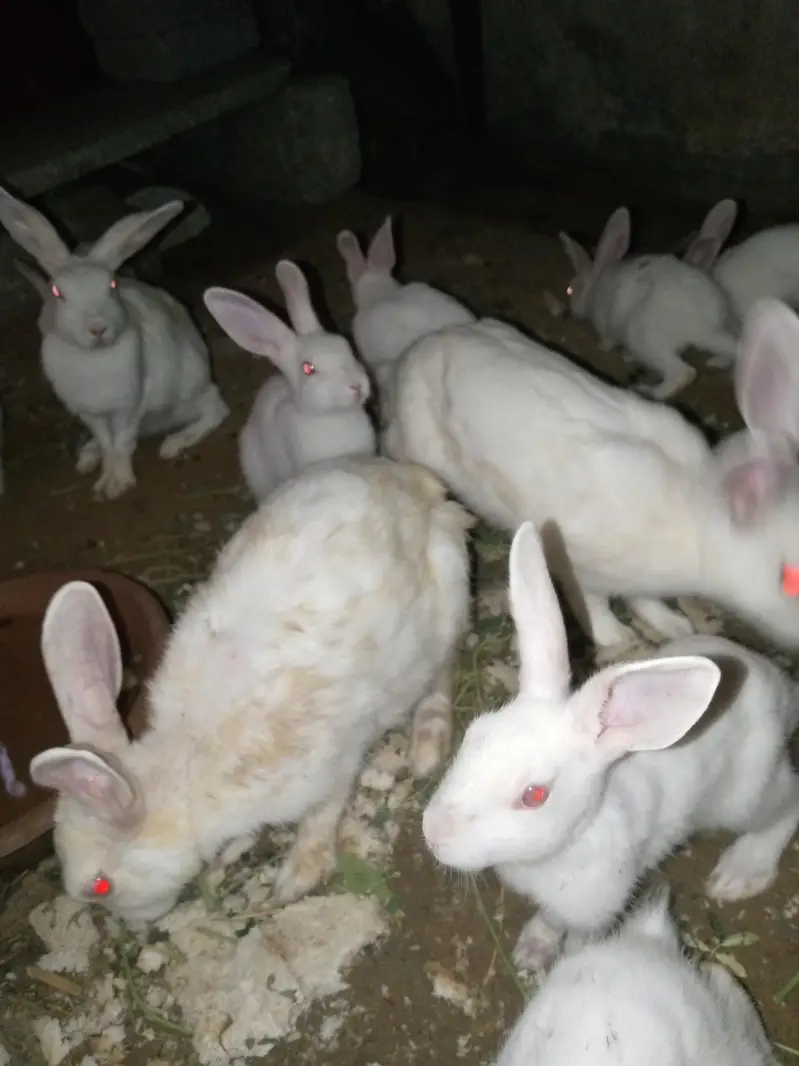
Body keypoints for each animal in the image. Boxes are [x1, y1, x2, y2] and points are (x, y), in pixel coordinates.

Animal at [0, 187, 229, 500]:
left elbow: (121, 442)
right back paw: (87, 456)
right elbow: (108, 442)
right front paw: (105, 481)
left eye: (111, 286)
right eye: (58, 293)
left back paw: (173, 443)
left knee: (214, 411)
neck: (94, 356)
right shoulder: (91, 414)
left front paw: (119, 483)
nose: (98, 328)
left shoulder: (127, 407)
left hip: (188, 393)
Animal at [28, 456, 473, 927]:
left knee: (441, 676)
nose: (135, 927)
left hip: (446, 605)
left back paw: (426, 748)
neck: (186, 772)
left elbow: (322, 814)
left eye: (100, 886)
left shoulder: (332, 764)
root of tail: (421, 484)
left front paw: (296, 878)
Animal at [384, 295, 799, 658]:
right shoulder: (582, 566)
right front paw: (617, 638)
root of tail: (419, 349)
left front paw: (674, 624)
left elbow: (645, 599)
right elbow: (595, 603)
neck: (699, 525)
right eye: (788, 579)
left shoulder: (640, 579)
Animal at [423, 520, 799, 972]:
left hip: (745, 795)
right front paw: (533, 947)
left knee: (787, 805)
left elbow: (580, 937)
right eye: (474, 734)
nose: (433, 833)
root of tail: (777, 686)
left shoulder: (595, 906)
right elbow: (550, 918)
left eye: (534, 795)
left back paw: (741, 871)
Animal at [560, 206, 739, 399]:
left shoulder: (606, 327)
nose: (572, 313)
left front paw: (601, 349)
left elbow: (607, 342)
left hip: (645, 339)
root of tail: (703, 326)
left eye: (570, 290)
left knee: (683, 374)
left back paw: (647, 391)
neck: (594, 287)